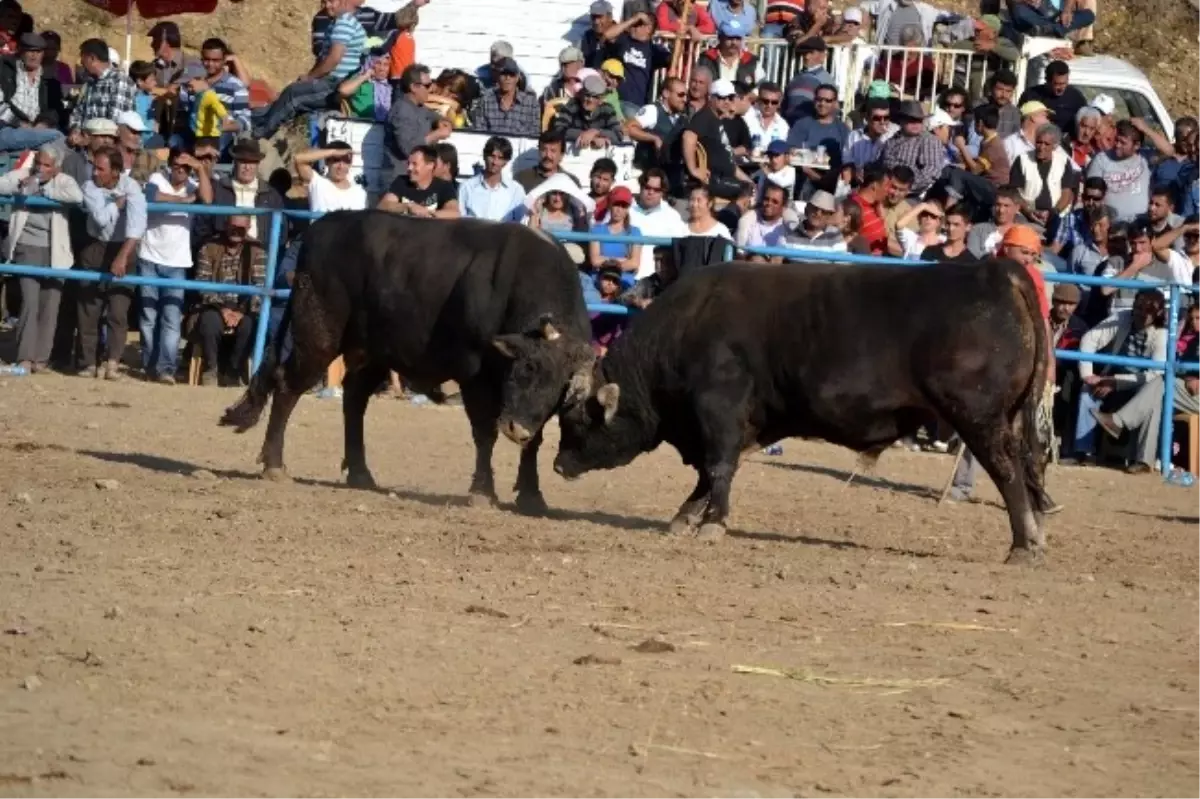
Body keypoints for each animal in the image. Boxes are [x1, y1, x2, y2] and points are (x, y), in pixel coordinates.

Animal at [218, 208, 592, 513]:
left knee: (354, 399)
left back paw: (360, 473)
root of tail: (322, 227)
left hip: (371, 351)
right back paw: (274, 466)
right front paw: (483, 492)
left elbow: (536, 441)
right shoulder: (474, 376)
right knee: (287, 386)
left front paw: (531, 494)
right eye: (524, 370)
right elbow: (484, 433)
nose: (516, 429)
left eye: (558, 384)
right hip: (318, 335)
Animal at [552, 257, 1051, 563]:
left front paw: (713, 523)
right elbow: (709, 476)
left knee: (1007, 472)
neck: (686, 327)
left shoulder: (719, 410)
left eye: (576, 418)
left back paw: (1022, 546)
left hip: (978, 419)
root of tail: (993, 271)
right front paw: (685, 518)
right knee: (1026, 471)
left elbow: (717, 468)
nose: (557, 465)